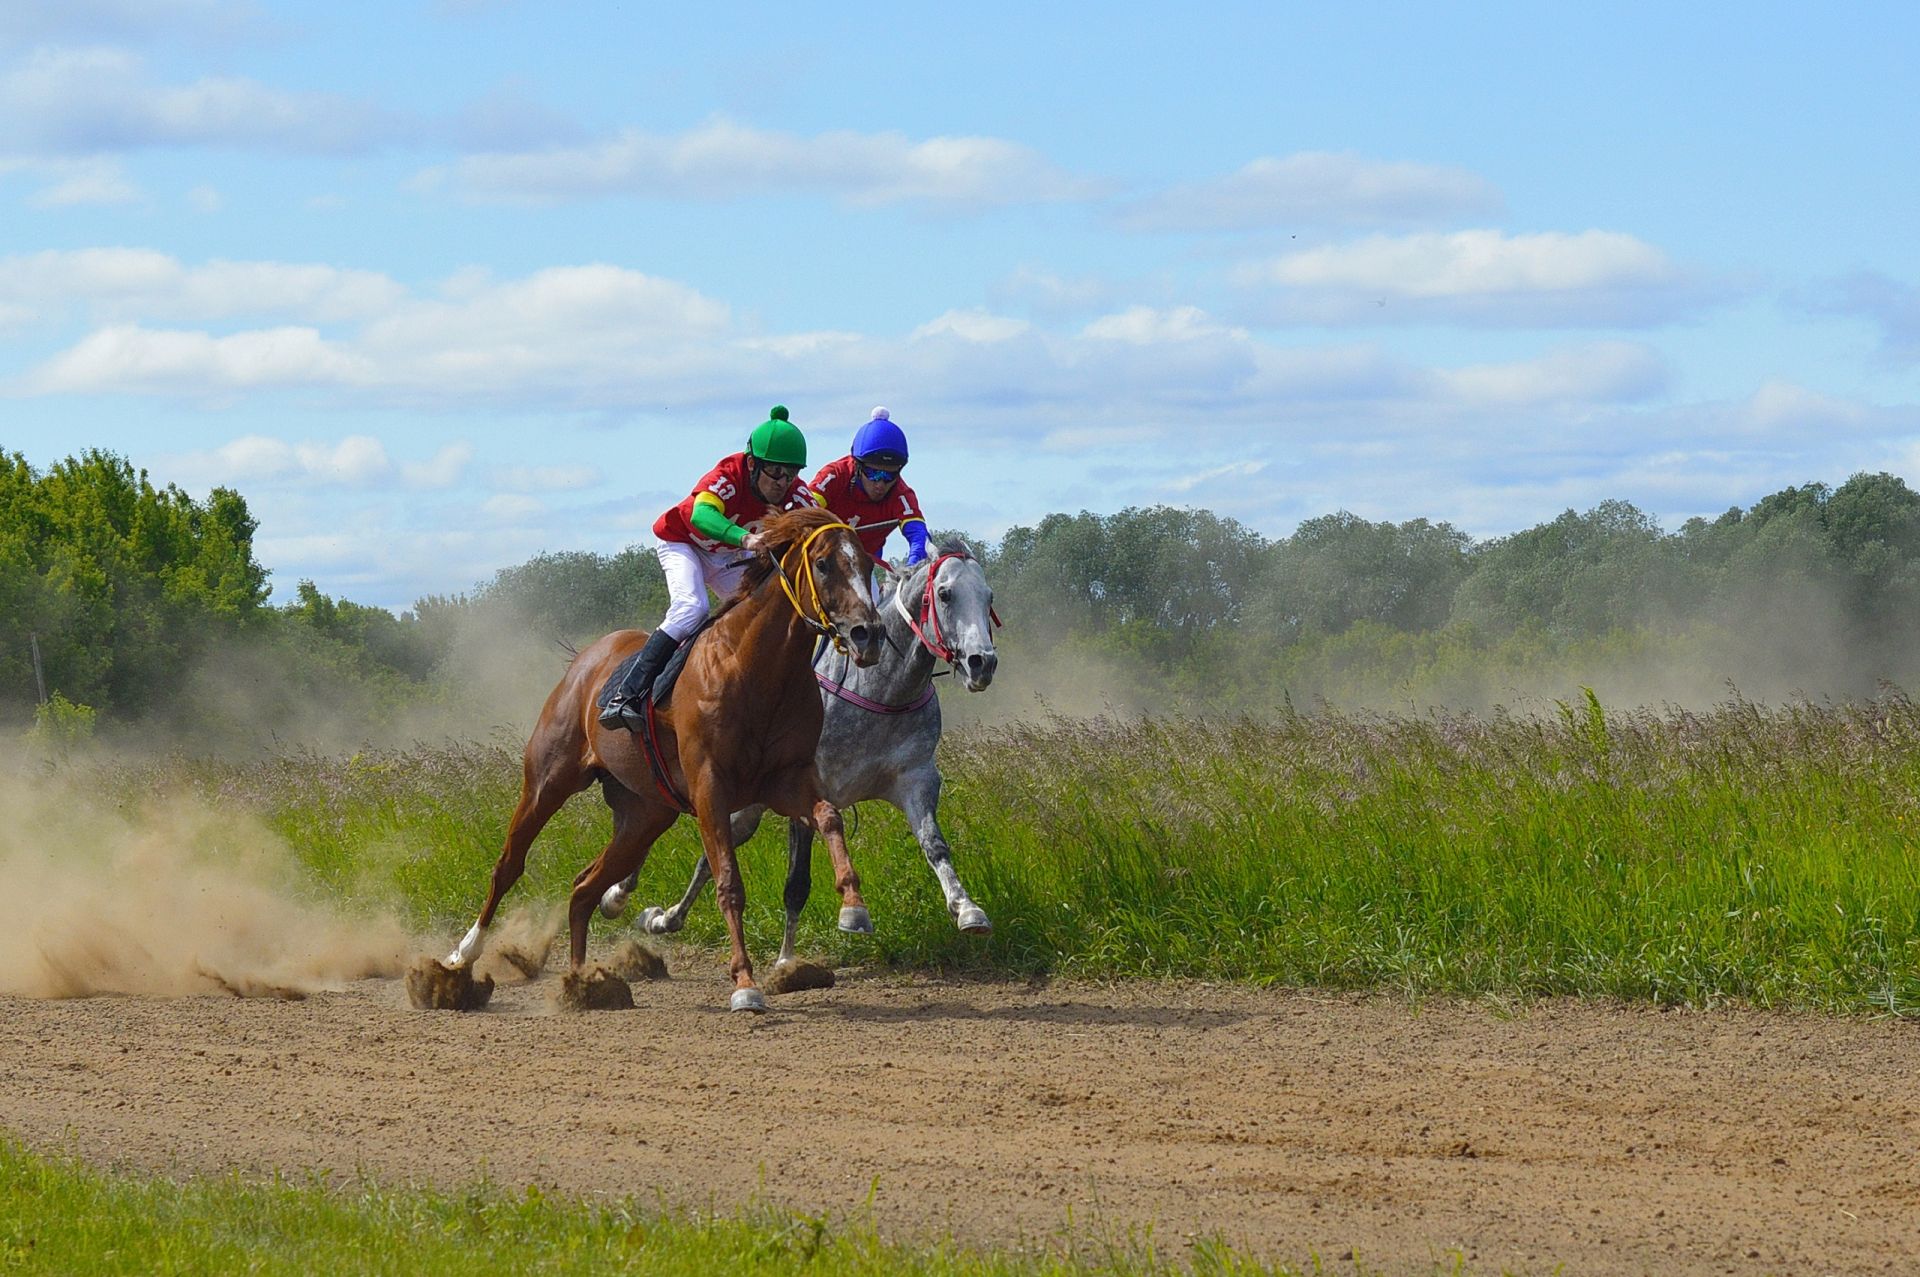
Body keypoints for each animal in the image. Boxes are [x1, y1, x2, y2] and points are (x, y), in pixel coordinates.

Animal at [443, 503, 883, 1013]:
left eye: (867, 563)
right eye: (825, 564)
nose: (868, 635)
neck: (754, 669)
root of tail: (586, 659)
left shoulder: (785, 781)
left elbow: (829, 815)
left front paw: (854, 908)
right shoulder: (711, 789)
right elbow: (728, 884)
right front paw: (744, 984)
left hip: (645, 815)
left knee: (584, 888)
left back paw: (582, 981)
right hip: (548, 781)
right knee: (509, 864)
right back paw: (463, 954)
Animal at [602, 541, 1006, 967]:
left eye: (989, 597)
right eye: (945, 594)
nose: (982, 662)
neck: (879, 691)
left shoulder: (915, 779)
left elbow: (935, 845)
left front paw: (967, 909)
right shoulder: (806, 788)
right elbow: (797, 882)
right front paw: (790, 957)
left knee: (710, 851)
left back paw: (662, 917)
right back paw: (621, 895)